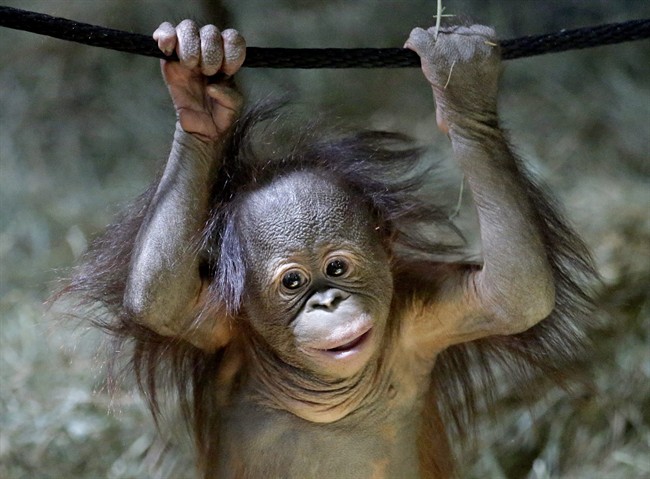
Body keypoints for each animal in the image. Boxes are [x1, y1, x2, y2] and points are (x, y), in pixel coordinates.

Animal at [62, 19, 596, 478]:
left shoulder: (423, 317)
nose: (328, 300)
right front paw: (198, 91)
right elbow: (159, 300)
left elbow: (512, 295)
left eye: (337, 267)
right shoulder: (221, 323)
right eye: (293, 281)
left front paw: (460, 86)